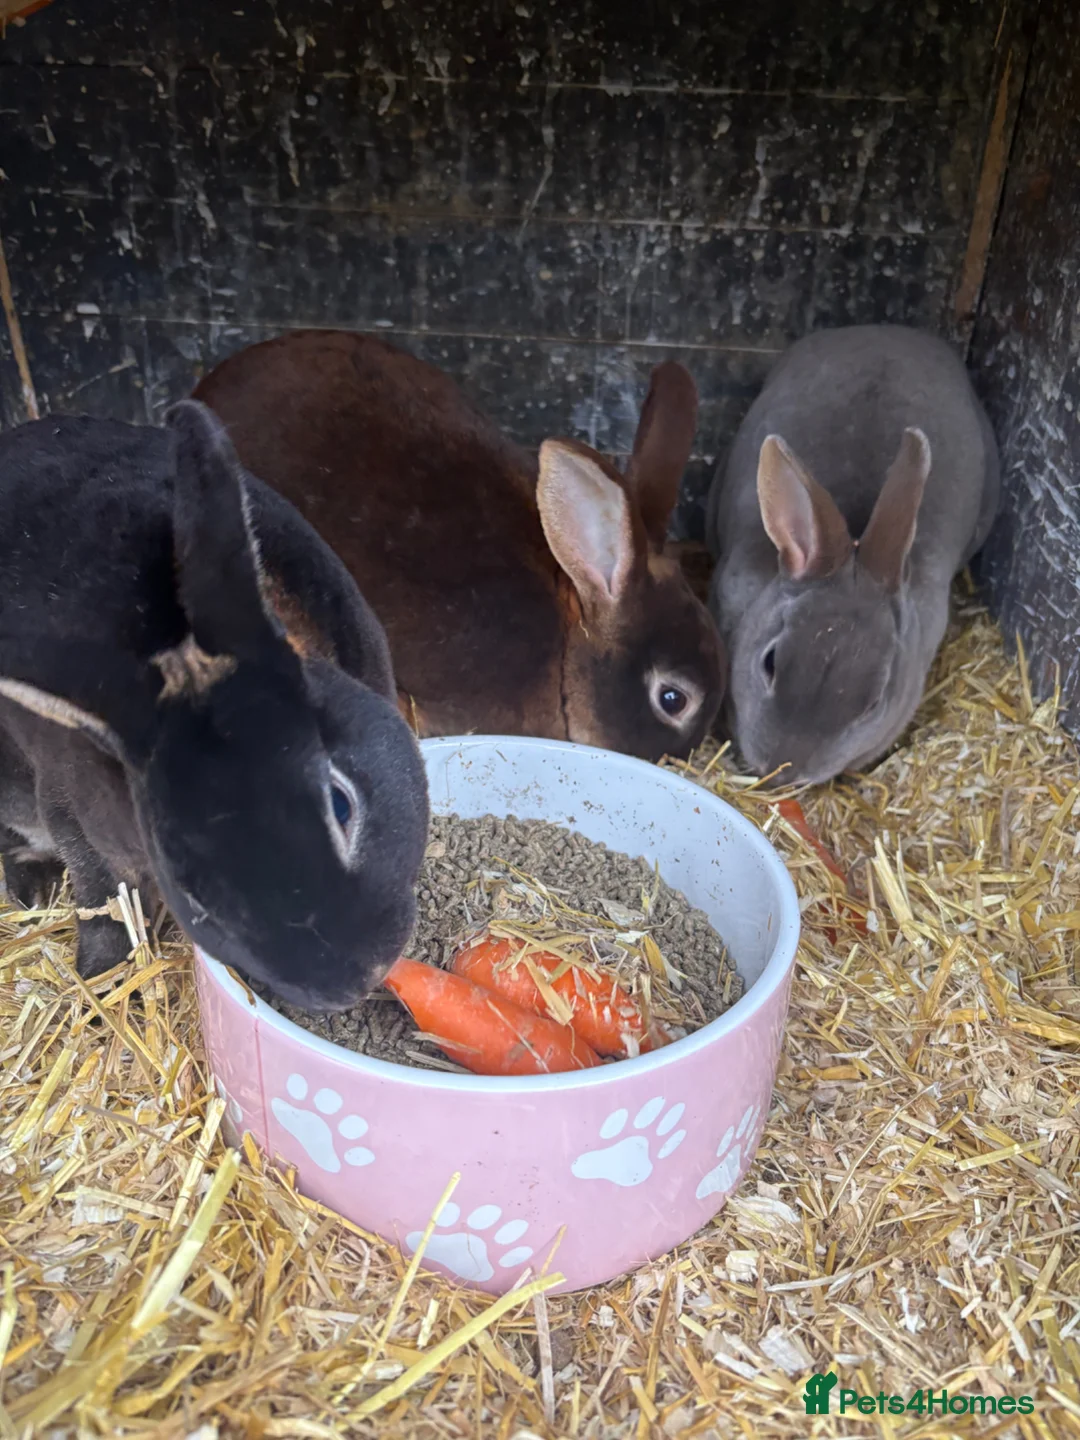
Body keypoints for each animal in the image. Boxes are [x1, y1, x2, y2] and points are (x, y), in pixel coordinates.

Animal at [0, 401, 429, 1011]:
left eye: (340, 803)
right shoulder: (74, 817)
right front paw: (101, 985)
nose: (356, 981)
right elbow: (104, 906)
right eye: (194, 893)